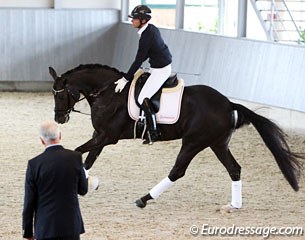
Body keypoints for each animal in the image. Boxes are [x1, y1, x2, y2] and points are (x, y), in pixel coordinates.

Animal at [49, 63, 302, 210]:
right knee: (234, 169)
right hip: (217, 143)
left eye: (60, 96)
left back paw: (144, 199)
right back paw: (234, 205)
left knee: (177, 171)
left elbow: (78, 152)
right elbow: (89, 159)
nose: (59, 118)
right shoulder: (100, 135)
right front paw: (86, 183)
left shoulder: (108, 136)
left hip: (193, 142)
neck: (109, 92)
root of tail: (227, 103)